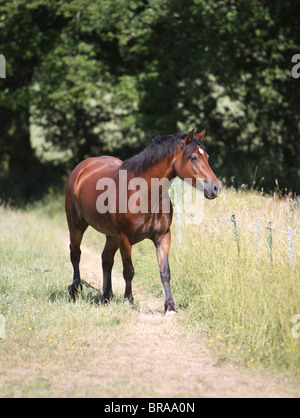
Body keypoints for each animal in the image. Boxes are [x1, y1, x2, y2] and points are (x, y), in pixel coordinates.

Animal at [65, 130, 220, 314]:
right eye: (194, 157)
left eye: (207, 156)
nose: (216, 187)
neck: (144, 193)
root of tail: (81, 169)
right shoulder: (125, 238)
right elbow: (128, 271)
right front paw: (129, 301)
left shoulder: (163, 237)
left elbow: (165, 271)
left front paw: (170, 307)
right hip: (77, 226)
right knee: (76, 255)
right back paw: (75, 290)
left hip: (111, 236)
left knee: (106, 260)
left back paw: (106, 297)